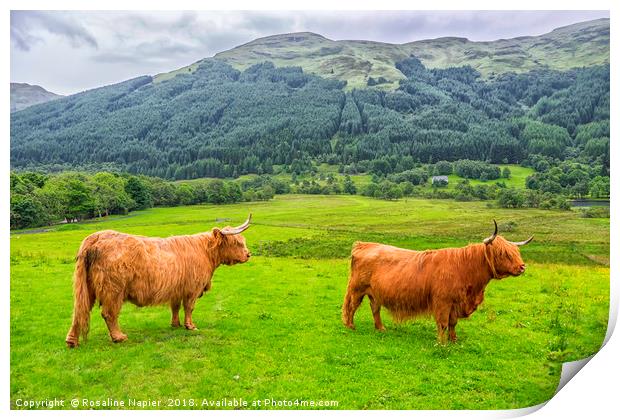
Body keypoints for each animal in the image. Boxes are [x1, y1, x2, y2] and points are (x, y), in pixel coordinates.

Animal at [65, 213, 252, 348]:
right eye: (236, 242)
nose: (248, 254)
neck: (206, 252)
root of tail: (95, 237)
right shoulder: (192, 288)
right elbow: (189, 308)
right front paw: (190, 326)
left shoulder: (177, 289)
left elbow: (175, 307)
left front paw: (175, 324)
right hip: (113, 290)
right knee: (108, 313)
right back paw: (119, 337)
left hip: (86, 288)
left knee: (79, 310)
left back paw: (72, 341)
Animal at [342, 221, 532, 342]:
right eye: (503, 253)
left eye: (516, 251)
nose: (522, 267)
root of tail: (364, 244)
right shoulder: (442, 301)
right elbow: (442, 323)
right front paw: (441, 343)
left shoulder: (456, 303)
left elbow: (453, 323)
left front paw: (454, 340)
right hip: (357, 289)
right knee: (352, 306)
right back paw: (350, 326)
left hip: (374, 293)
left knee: (375, 309)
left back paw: (380, 328)